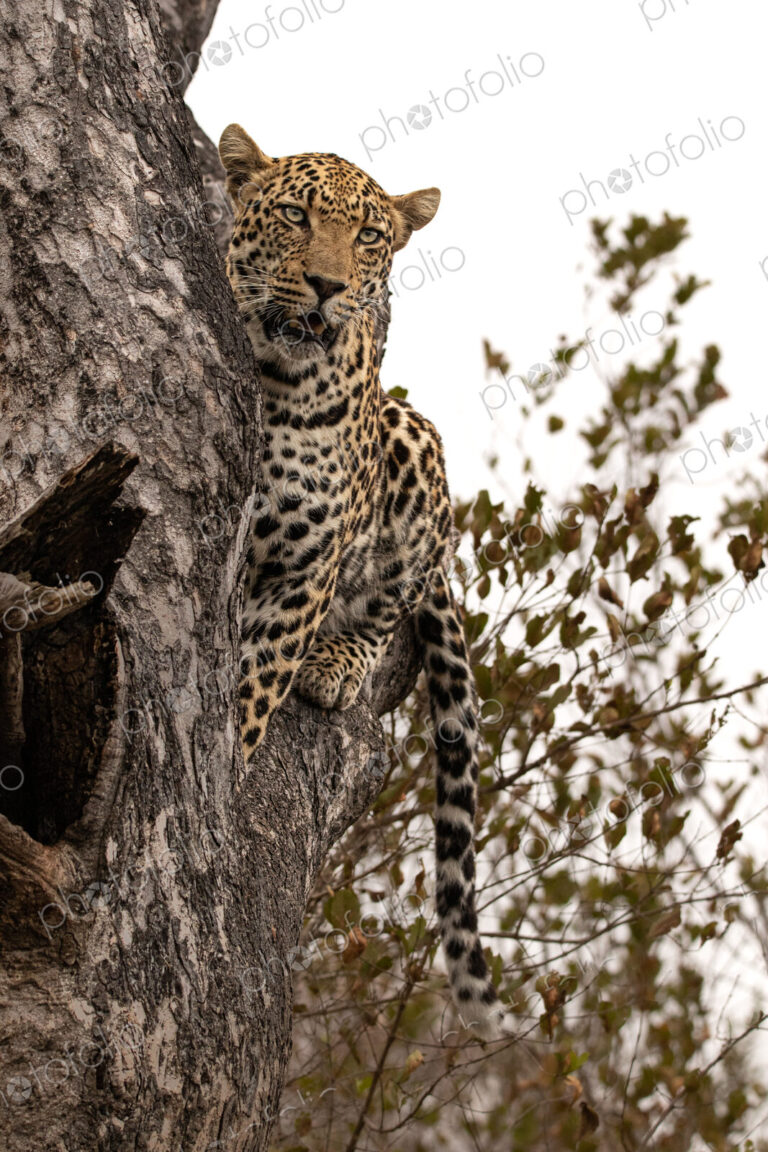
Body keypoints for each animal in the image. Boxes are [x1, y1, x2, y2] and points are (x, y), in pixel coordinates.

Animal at [218, 124, 504, 1034]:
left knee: (395, 600)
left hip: (414, 441)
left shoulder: (302, 573)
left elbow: (252, 693)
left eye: (371, 236)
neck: (278, 378)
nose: (327, 286)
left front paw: (224, 775)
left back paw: (338, 668)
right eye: (295, 216)